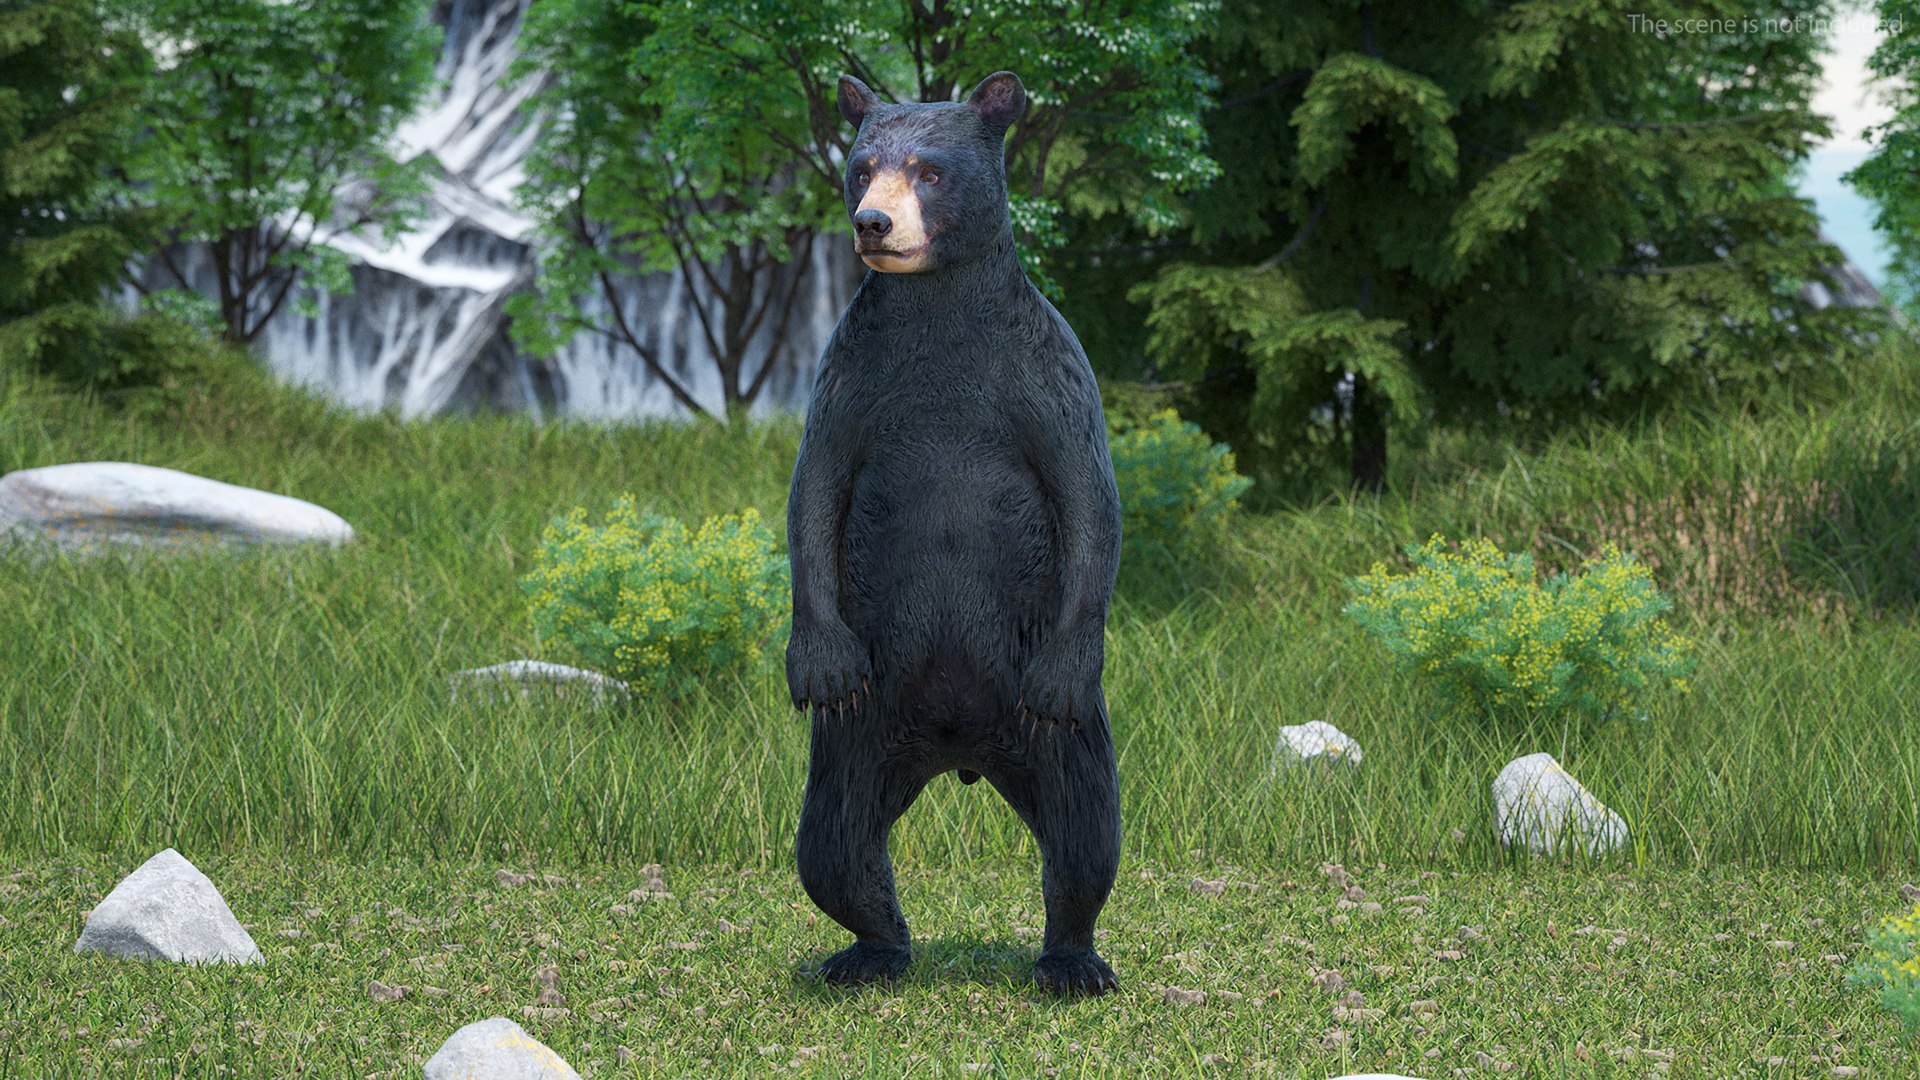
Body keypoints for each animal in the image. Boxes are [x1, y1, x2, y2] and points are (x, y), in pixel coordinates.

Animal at [784, 69, 1124, 997]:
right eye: (863, 167)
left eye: (930, 171)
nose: (874, 222)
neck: (938, 308)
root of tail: (959, 752)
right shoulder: (855, 378)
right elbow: (813, 494)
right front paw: (817, 662)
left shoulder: (1040, 375)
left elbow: (1090, 500)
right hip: (863, 732)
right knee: (833, 846)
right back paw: (869, 952)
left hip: (1044, 728)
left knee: (1086, 832)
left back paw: (1073, 961)